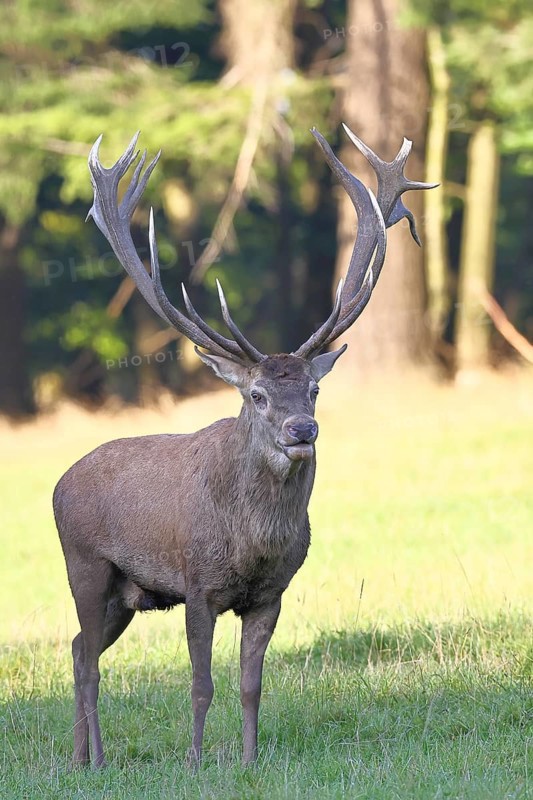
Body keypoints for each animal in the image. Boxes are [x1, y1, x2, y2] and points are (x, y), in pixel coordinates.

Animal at [53, 124, 434, 769]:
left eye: (313, 389)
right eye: (257, 394)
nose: (302, 430)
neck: (253, 543)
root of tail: (58, 483)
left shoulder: (270, 593)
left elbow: (251, 682)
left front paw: (252, 759)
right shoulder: (197, 584)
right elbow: (201, 684)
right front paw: (195, 761)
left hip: (128, 594)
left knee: (82, 646)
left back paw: (81, 757)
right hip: (86, 563)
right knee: (87, 661)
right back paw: (97, 760)